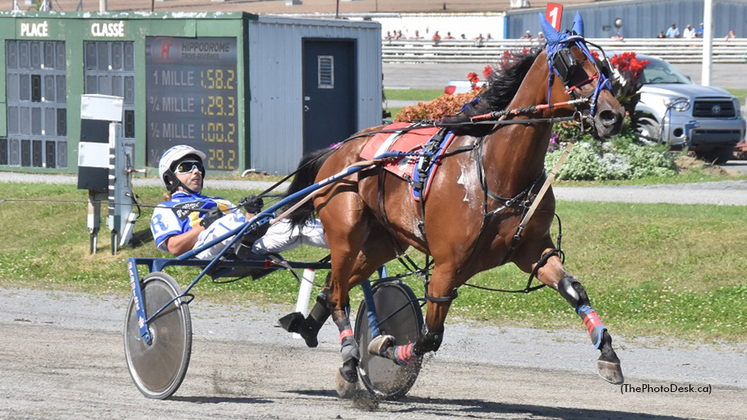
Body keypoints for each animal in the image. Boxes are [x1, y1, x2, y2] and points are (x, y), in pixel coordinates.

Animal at [280, 13, 624, 398]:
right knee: (339, 292)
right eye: (571, 66)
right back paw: (349, 363)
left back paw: (312, 331)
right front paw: (385, 347)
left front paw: (608, 355)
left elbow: (573, 288)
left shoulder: (533, 250)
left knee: (333, 287)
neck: (496, 171)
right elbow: (429, 337)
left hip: (383, 241)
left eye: (603, 65)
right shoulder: (447, 267)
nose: (612, 115)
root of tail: (339, 149)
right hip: (345, 233)